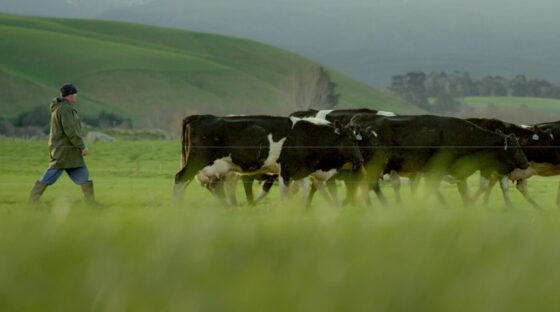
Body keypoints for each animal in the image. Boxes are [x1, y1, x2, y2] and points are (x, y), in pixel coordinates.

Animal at [348, 114, 532, 207]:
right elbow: (430, 190)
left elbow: (463, 192)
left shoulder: (458, 173)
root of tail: (357, 122)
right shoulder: (436, 170)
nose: (526, 164)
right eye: (516, 148)